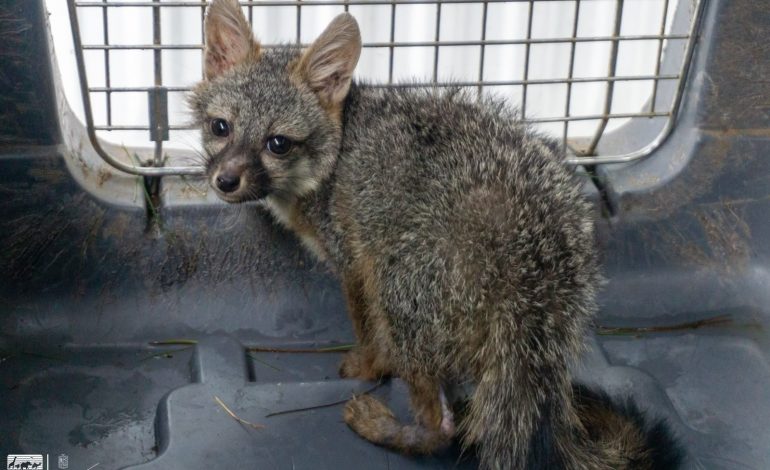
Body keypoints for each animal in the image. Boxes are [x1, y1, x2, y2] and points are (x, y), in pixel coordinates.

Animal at [190, 1, 683, 468]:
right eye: (220, 127)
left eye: (277, 143)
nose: (225, 181)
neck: (339, 150)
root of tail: (535, 260)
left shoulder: (355, 263)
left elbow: (367, 332)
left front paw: (367, 366)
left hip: (398, 288)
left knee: (442, 428)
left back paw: (384, 427)